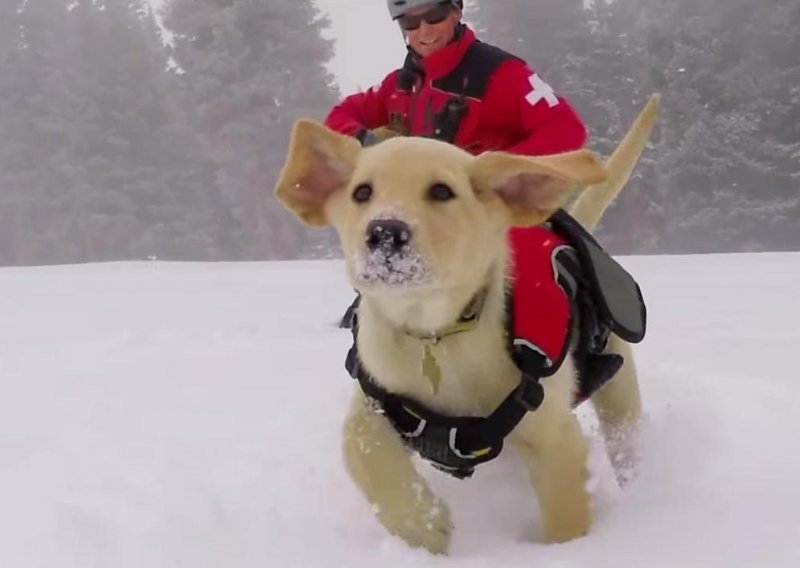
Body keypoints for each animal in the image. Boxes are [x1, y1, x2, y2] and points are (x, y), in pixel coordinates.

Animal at [272, 95, 660, 552]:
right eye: (361, 192)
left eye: (442, 191)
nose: (385, 232)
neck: (436, 335)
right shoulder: (376, 401)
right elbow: (360, 447)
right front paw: (425, 525)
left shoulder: (553, 435)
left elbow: (566, 514)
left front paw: (565, 552)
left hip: (619, 388)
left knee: (627, 440)